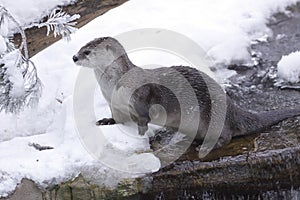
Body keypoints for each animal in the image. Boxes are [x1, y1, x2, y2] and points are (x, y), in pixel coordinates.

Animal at [72, 37, 300, 150]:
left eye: (87, 52)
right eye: (80, 48)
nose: (74, 57)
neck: (114, 84)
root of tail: (232, 108)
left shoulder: (142, 95)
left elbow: (145, 113)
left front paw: (141, 131)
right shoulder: (113, 102)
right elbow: (118, 118)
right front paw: (107, 121)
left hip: (214, 114)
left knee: (226, 135)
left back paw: (207, 147)